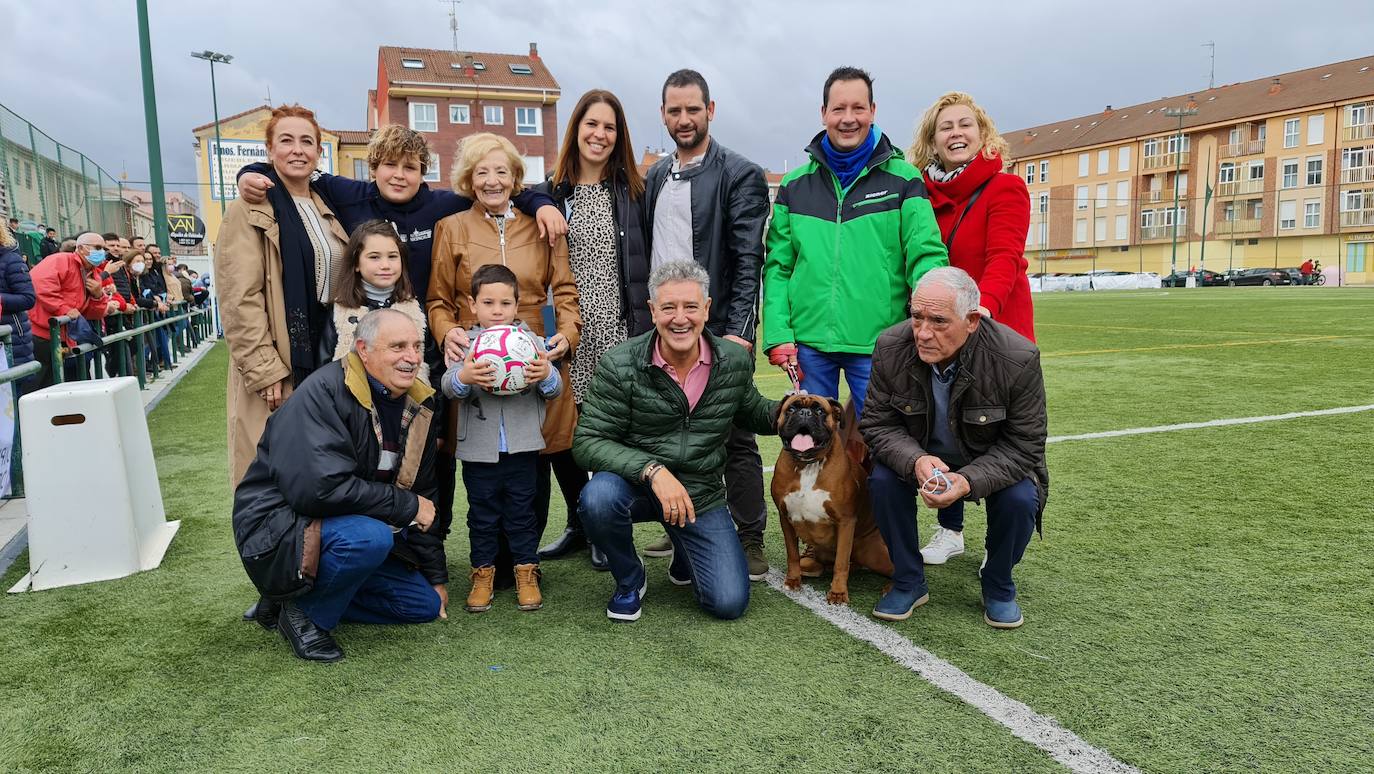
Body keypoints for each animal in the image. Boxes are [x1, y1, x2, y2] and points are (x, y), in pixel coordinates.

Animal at [769, 393, 895, 604]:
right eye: (791, 409)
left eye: (820, 410)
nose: (805, 413)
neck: (808, 464)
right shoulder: (785, 517)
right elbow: (792, 554)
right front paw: (793, 580)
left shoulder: (845, 521)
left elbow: (841, 562)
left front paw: (838, 593)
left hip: (871, 553)